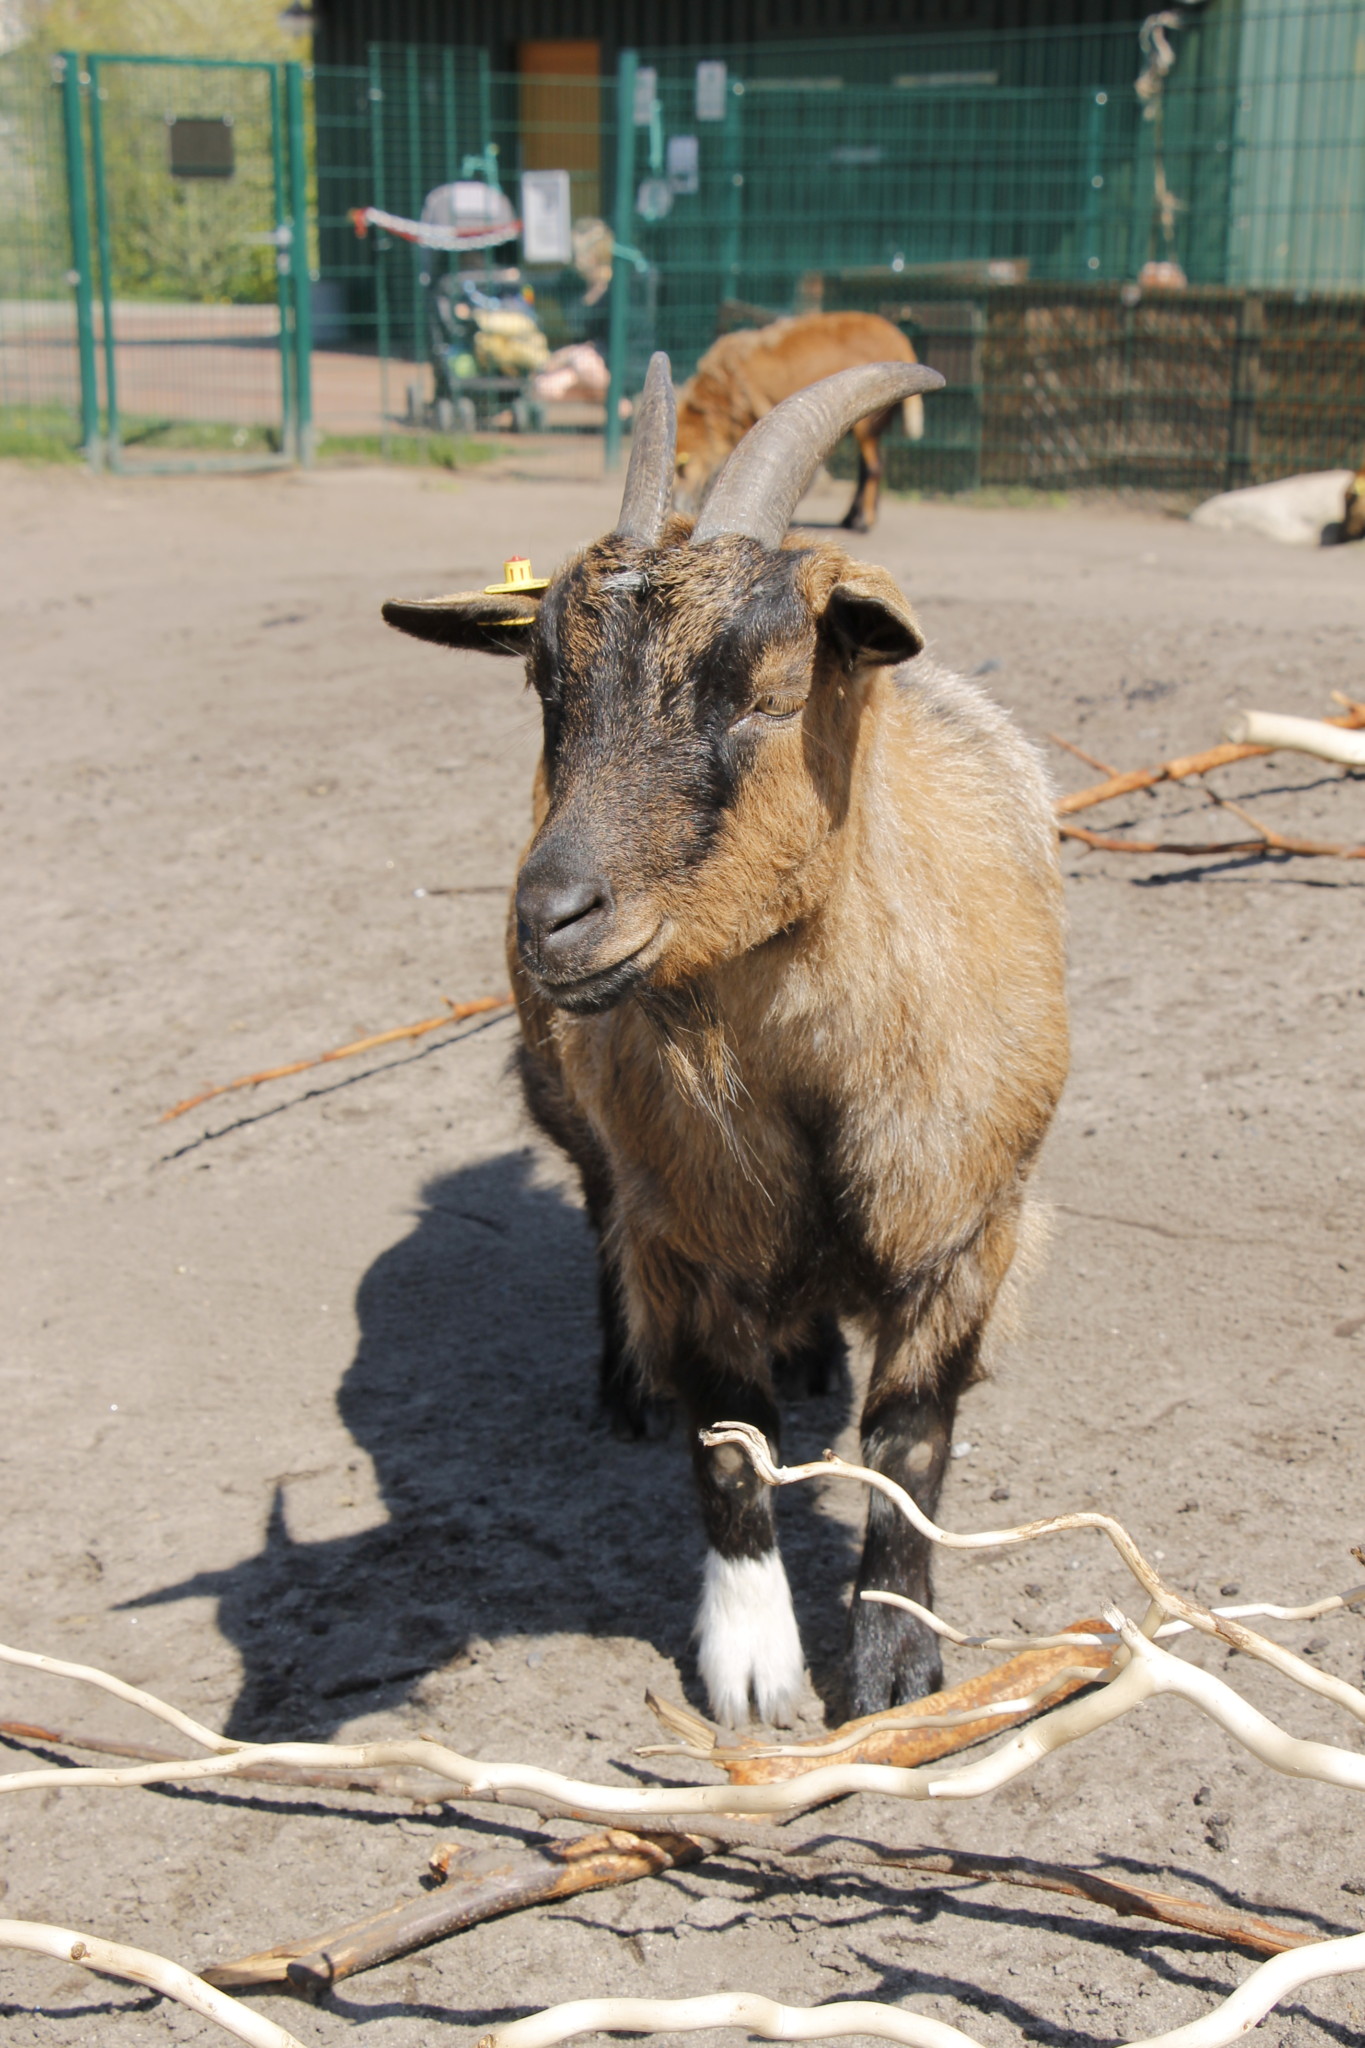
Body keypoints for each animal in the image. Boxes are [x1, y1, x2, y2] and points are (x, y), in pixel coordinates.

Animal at [382, 356, 1064, 1728]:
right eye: (546, 688)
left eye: (776, 687)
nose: (553, 917)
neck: (816, 1080)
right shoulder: (684, 1234)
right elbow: (730, 1445)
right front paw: (754, 1669)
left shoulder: (972, 1226)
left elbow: (911, 1438)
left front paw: (898, 1663)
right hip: (589, 1132)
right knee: (601, 1224)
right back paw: (624, 1388)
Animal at [675, 309, 929, 536]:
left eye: (681, 469)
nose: (681, 506)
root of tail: (898, 339)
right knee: (869, 468)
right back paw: (851, 519)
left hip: (867, 424)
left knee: (873, 467)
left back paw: (865, 521)